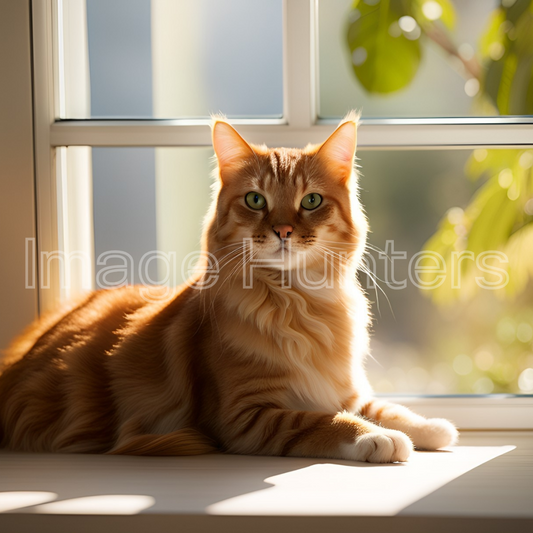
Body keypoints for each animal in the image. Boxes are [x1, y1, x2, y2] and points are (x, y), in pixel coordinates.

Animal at [0, 113, 458, 462]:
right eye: (256, 200)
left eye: (311, 201)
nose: (283, 231)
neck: (300, 302)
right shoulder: (247, 415)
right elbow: (324, 421)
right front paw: (377, 438)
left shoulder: (341, 388)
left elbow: (385, 407)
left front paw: (432, 426)